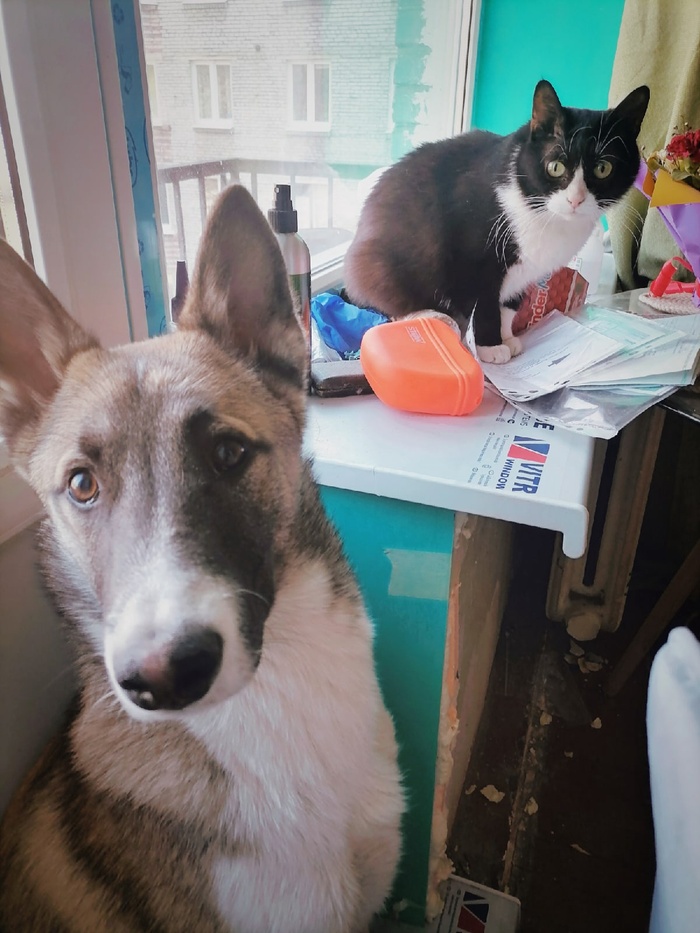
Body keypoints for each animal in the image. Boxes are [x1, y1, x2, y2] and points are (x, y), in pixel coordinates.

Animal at [344, 80, 650, 363]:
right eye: (555, 166)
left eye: (603, 168)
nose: (575, 200)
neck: (540, 211)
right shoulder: (474, 258)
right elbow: (485, 302)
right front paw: (489, 346)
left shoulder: (527, 269)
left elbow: (510, 304)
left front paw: (507, 337)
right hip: (384, 264)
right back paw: (431, 315)